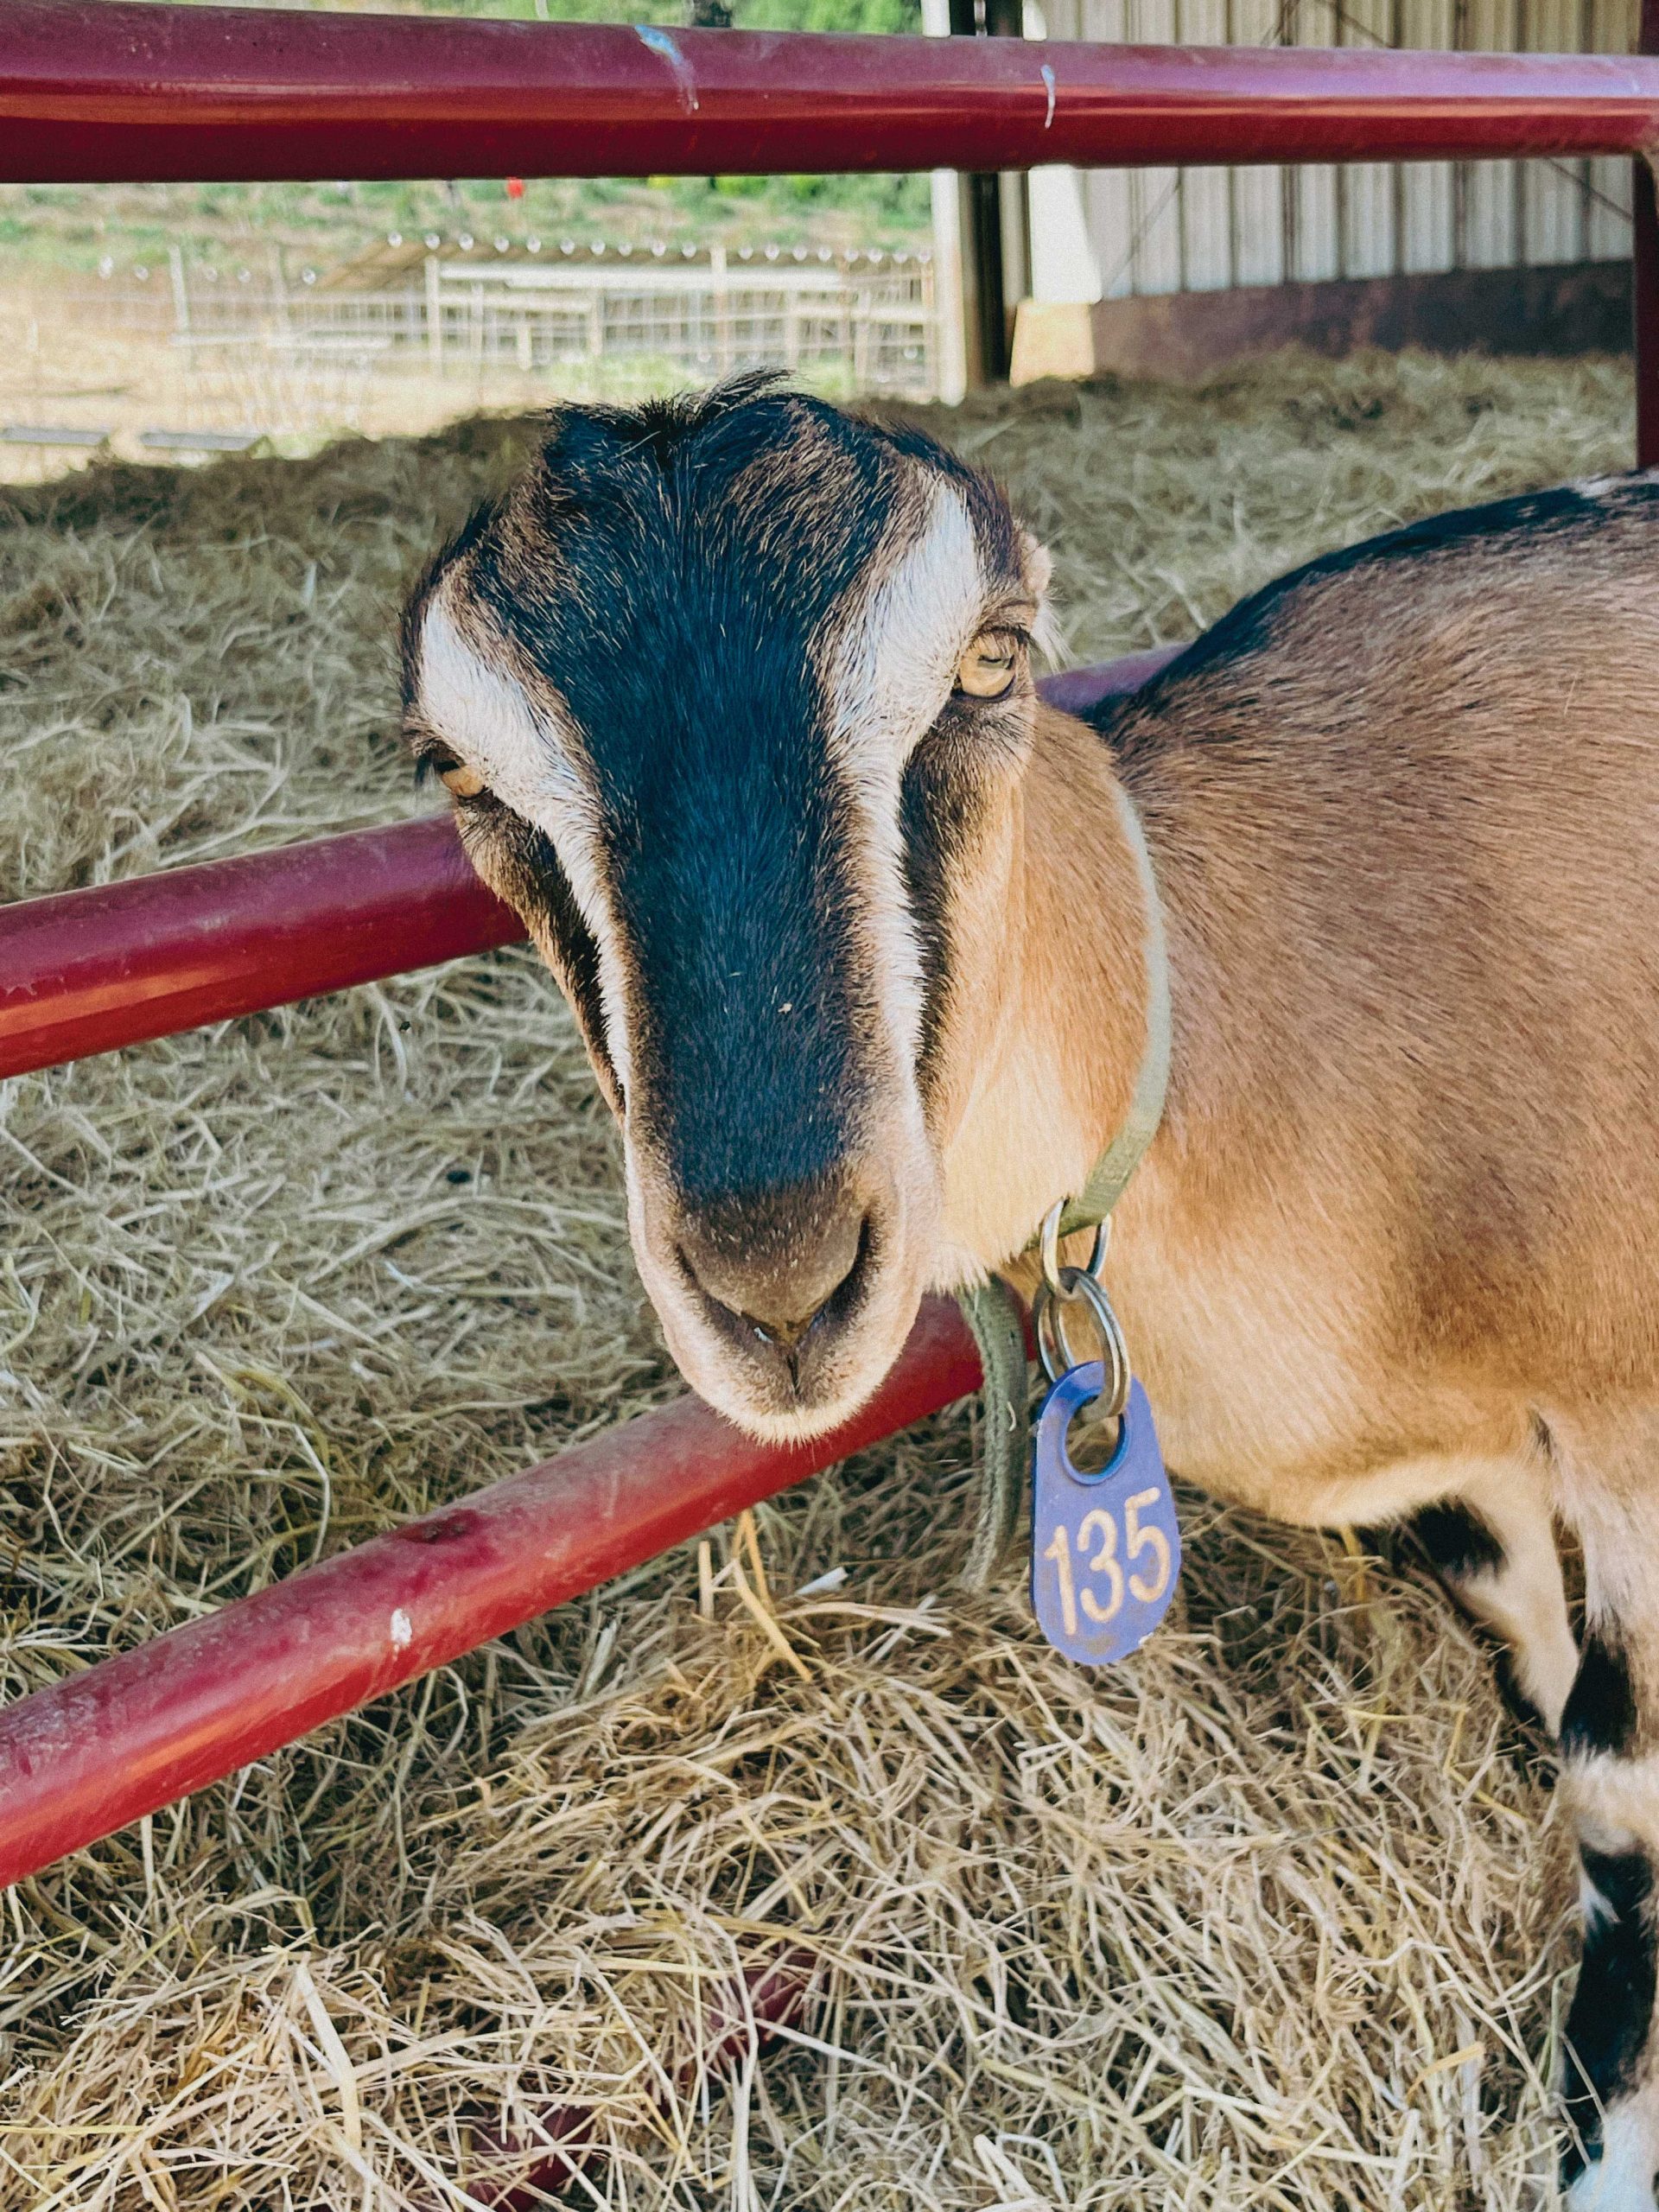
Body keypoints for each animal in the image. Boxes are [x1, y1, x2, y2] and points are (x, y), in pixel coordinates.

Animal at [400, 377, 1659, 2209]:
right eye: (458, 770)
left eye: (992, 661)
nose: (777, 1274)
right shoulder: (1462, 1465)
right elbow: (1546, 1681)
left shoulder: (1631, 1413)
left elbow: (1621, 1779)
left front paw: (1611, 2145)